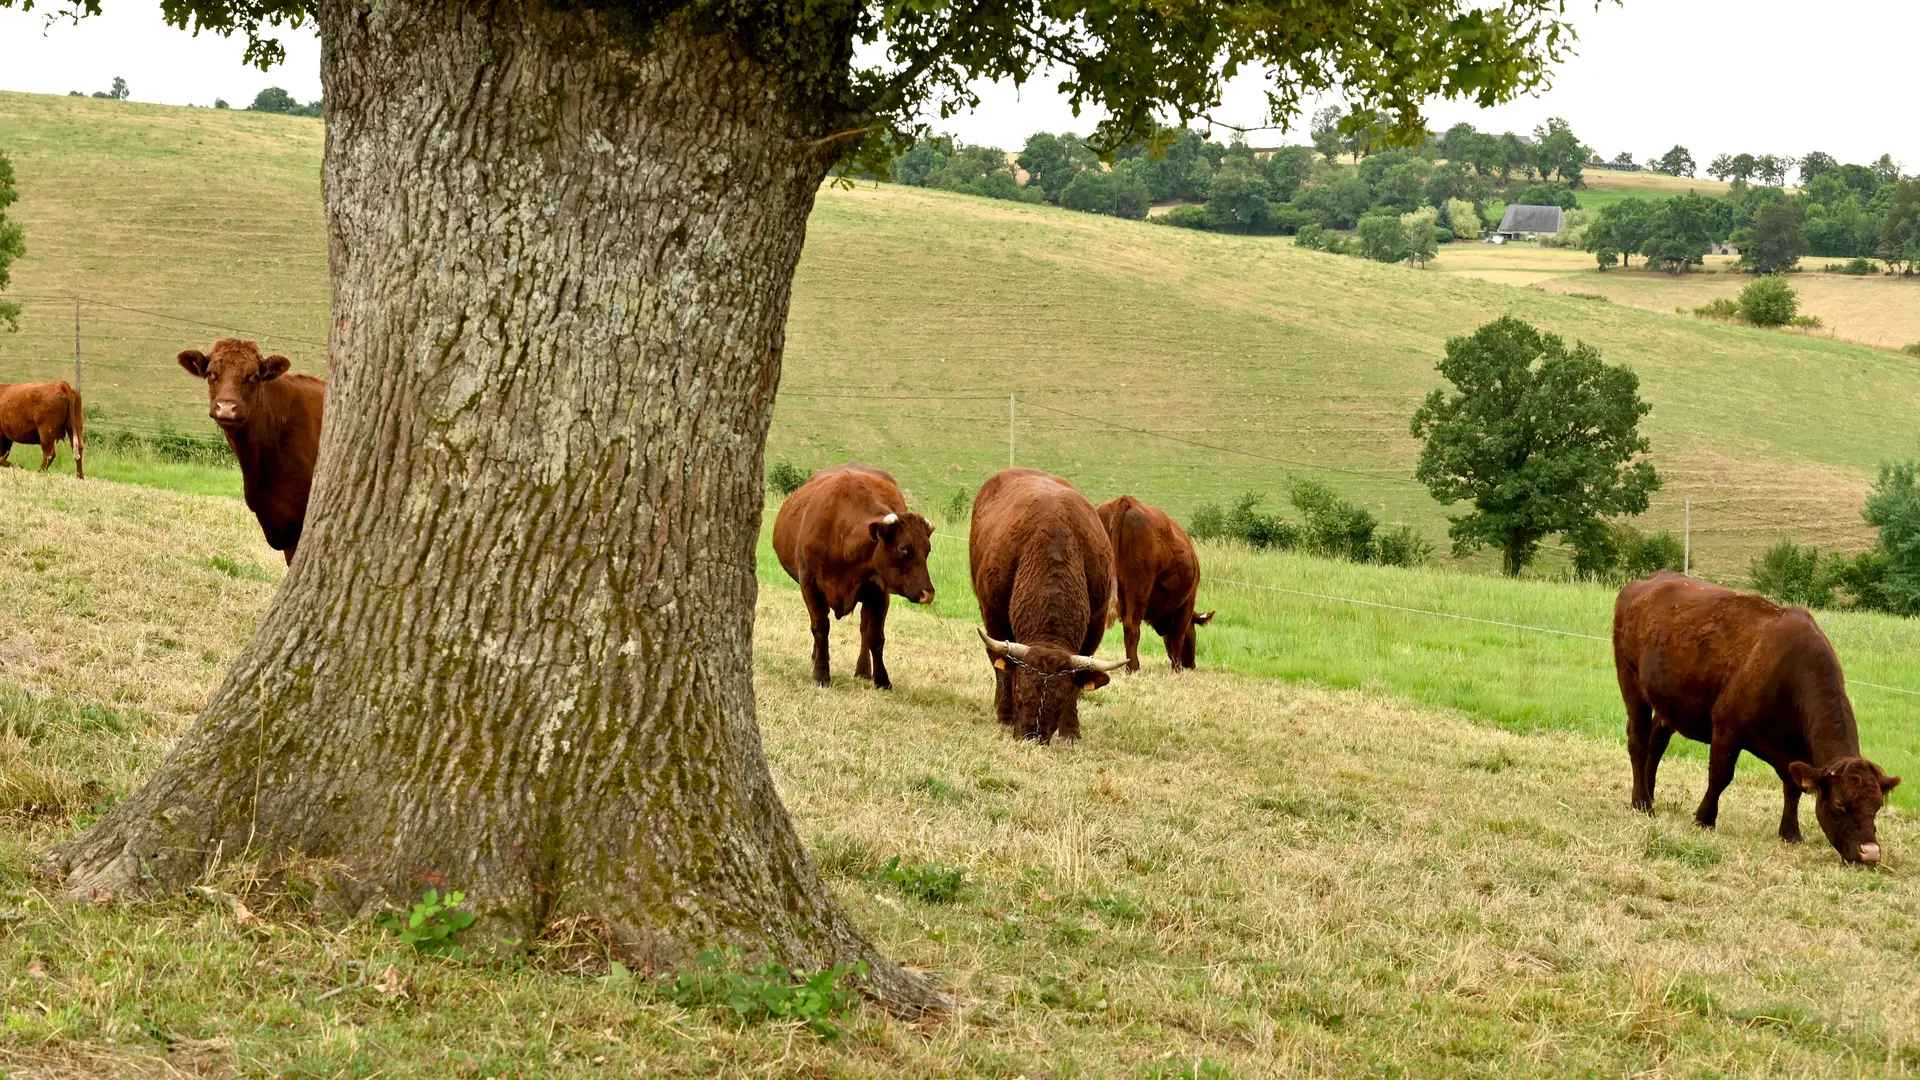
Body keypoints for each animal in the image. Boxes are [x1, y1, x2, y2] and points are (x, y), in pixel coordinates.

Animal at [772, 463, 936, 691]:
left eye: (927, 550)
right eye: (903, 548)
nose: (927, 593)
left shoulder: (879, 592)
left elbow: (875, 636)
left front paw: (882, 679)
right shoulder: (809, 583)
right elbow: (820, 627)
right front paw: (821, 674)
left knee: (864, 629)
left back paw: (863, 670)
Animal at [970, 468, 1128, 743]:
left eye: (1059, 704)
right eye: (1019, 695)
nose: (1031, 738)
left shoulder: (1095, 625)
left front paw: (1071, 731)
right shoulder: (994, 616)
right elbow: (1003, 668)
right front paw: (1005, 715)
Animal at [1096, 495, 1214, 672]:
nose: (1191, 664)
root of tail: (1125, 501)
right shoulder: (1187, 602)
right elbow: (1178, 636)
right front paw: (1176, 669)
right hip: (1138, 590)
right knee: (1131, 627)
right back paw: (1133, 667)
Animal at [1614, 571, 1900, 864]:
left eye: (1877, 805)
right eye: (1840, 804)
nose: (1870, 853)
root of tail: (1647, 581)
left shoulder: (1794, 753)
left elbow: (1793, 788)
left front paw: (1791, 832)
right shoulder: (1726, 728)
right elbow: (1720, 776)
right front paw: (1705, 819)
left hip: (1666, 702)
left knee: (1656, 743)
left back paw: (1649, 793)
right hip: (1631, 682)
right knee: (1638, 742)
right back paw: (1642, 803)